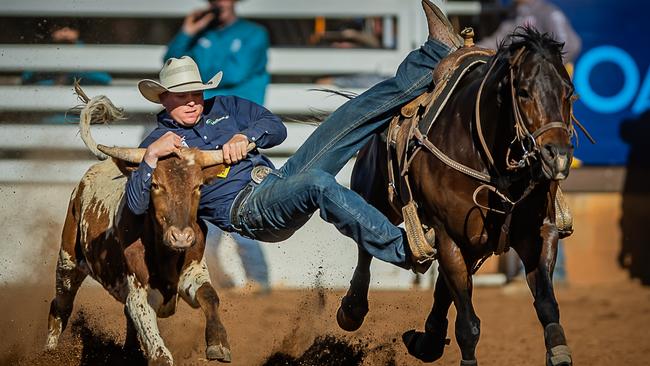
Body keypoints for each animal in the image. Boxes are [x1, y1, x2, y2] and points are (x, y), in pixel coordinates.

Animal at [336, 28, 576, 366]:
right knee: (364, 245)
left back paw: (429, 340)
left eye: (569, 92)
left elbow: (546, 305)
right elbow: (468, 325)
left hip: (474, 243)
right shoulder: (448, 235)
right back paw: (352, 310)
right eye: (524, 92)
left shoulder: (537, 232)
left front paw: (558, 351)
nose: (558, 156)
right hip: (375, 194)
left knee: (442, 288)